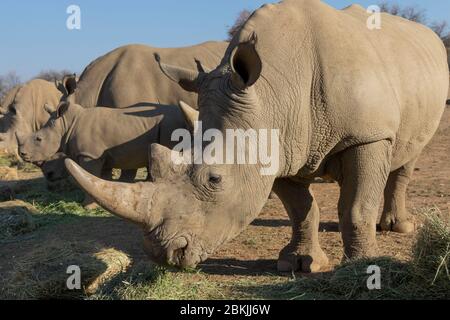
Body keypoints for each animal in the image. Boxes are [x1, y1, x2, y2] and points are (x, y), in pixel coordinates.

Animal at [17, 101, 186, 209]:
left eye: (38, 139)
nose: (23, 154)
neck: (66, 125)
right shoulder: (101, 156)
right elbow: (99, 179)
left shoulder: (90, 156)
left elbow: (90, 175)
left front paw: (87, 207)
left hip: (171, 125)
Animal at [65, 1, 448, 274]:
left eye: (215, 179)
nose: (165, 254)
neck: (272, 93)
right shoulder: (277, 145)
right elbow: (300, 208)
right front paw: (298, 264)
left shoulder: (367, 136)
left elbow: (356, 207)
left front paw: (362, 266)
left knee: (406, 157)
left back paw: (398, 228)